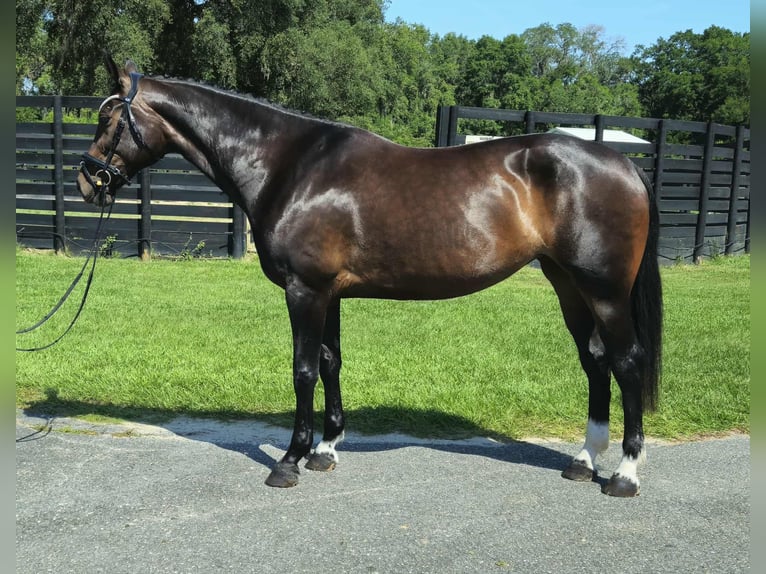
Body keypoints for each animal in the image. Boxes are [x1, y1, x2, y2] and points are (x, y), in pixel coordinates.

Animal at [78, 56, 662, 497]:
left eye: (108, 121)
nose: (87, 180)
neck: (288, 165)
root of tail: (624, 163)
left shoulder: (305, 291)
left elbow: (303, 371)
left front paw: (289, 460)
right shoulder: (329, 293)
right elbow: (331, 363)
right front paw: (325, 450)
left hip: (605, 291)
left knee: (627, 363)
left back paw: (625, 475)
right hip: (569, 286)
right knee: (596, 361)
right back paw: (583, 461)